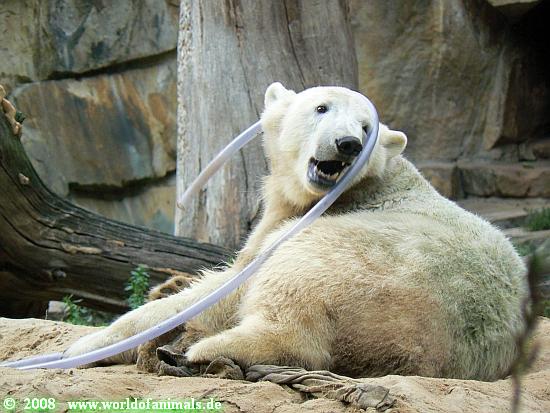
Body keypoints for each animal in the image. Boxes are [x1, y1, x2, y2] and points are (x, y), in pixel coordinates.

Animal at [65, 82, 528, 381]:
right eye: (322, 108)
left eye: (366, 127)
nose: (347, 144)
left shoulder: (303, 221)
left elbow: (227, 286)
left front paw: (85, 346)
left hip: (376, 267)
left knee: (295, 284)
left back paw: (202, 349)